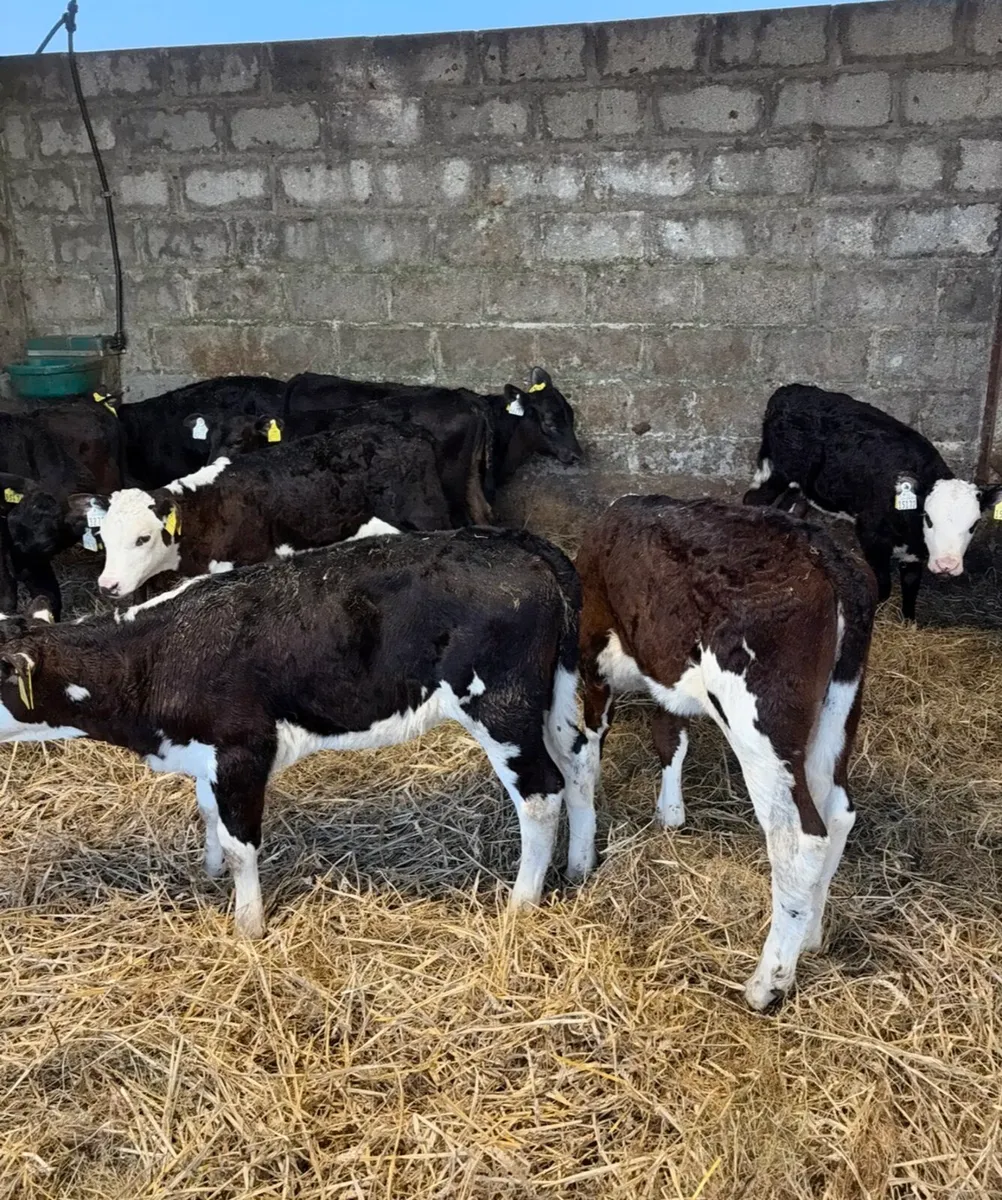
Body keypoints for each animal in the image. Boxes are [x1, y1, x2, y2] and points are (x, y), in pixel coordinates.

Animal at [0, 528, 583, 938]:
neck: (154, 654)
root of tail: (516, 542)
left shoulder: (242, 749)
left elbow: (241, 844)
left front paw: (247, 927)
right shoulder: (205, 752)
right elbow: (208, 813)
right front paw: (209, 872)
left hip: (501, 705)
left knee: (541, 793)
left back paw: (520, 905)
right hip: (553, 696)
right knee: (578, 764)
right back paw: (579, 866)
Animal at [568, 495, 877, 1011]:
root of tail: (821, 551)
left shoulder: (594, 658)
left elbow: (588, 752)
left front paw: (582, 854)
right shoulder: (665, 670)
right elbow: (670, 734)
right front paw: (670, 813)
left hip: (760, 724)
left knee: (798, 836)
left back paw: (768, 982)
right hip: (839, 707)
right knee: (837, 813)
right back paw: (811, 935)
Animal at [743, 384, 1002, 622]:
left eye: (974, 525)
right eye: (929, 519)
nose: (947, 564)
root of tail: (789, 390)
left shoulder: (914, 554)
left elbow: (911, 587)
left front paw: (909, 622)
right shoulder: (871, 536)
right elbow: (884, 586)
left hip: (801, 485)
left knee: (789, 508)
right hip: (776, 471)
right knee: (753, 500)